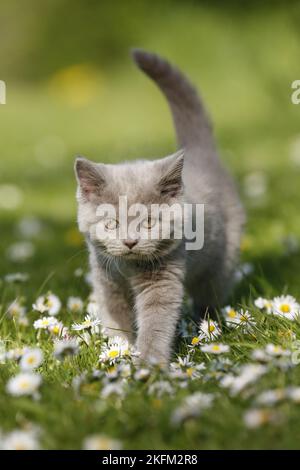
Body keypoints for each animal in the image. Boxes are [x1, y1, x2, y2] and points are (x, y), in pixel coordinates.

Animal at [74, 49, 244, 364]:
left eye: (150, 223)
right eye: (111, 223)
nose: (130, 242)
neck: (128, 267)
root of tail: (199, 153)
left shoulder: (163, 277)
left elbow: (155, 322)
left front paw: (148, 364)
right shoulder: (106, 280)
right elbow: (115, 319)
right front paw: (119, 351)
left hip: (222, 260)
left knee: (210, 294)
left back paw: (207, 325)